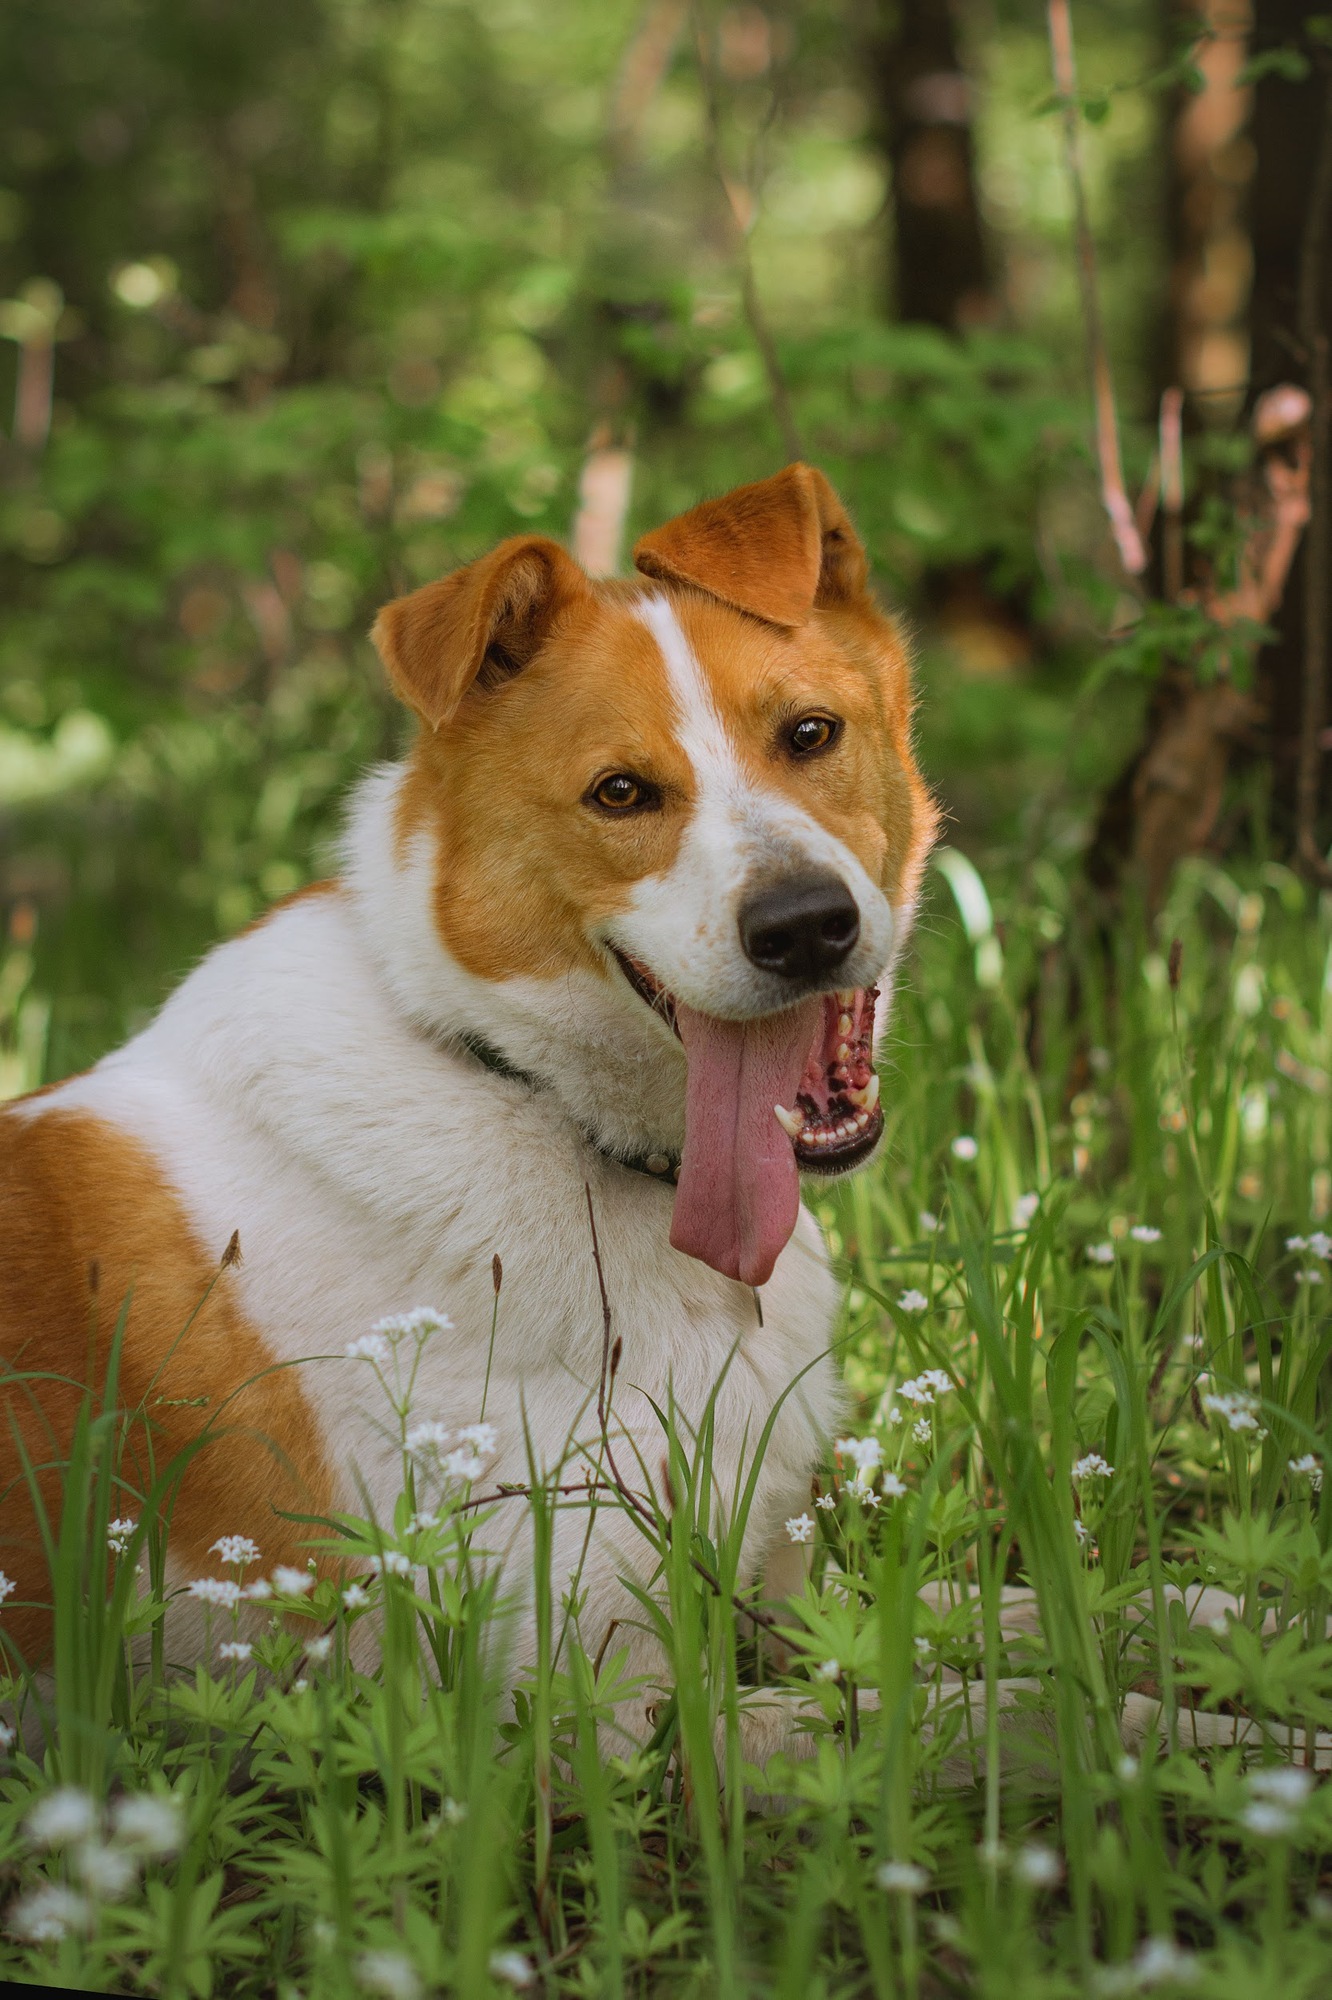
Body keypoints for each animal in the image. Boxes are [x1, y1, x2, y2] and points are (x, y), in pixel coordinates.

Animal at [0, 458, 932, 1720]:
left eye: (810, 733)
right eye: (621, 793)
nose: (800, 926)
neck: (514, 1076)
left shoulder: (786, 1588)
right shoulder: (590, 1689)